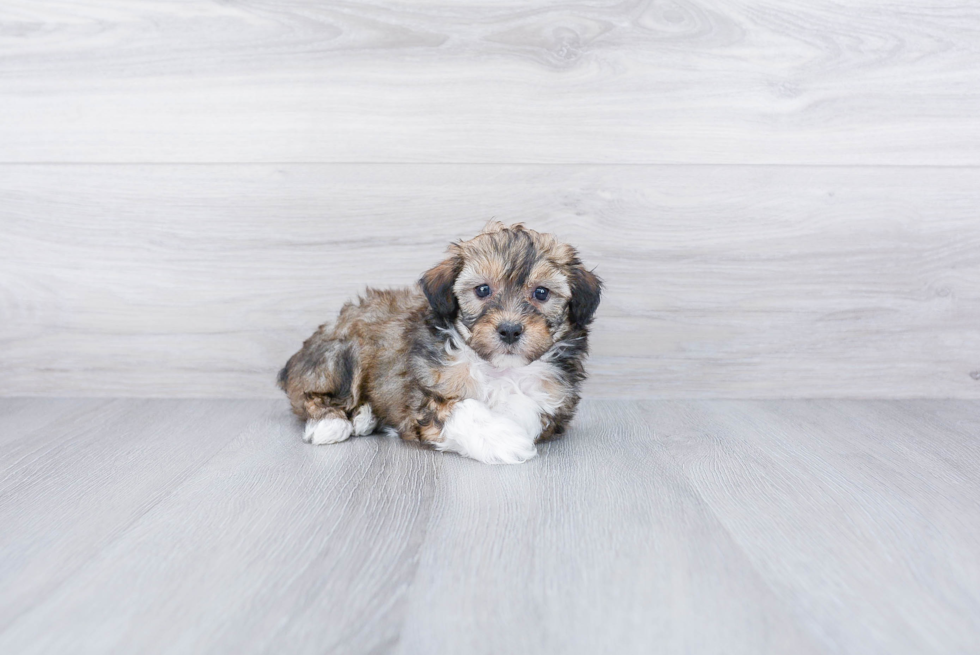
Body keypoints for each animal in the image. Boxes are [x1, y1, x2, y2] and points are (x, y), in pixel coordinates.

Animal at [276, 223, 596, 464]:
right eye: (483, 290)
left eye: (541, 293)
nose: (509, 330)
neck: (499, 368)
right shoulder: (422, 400)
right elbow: (462, 410)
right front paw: (504, 439)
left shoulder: (555, 400)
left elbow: (529, 408)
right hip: (341, 353)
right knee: (316, 395)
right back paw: (332, 423)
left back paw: (365, 418)